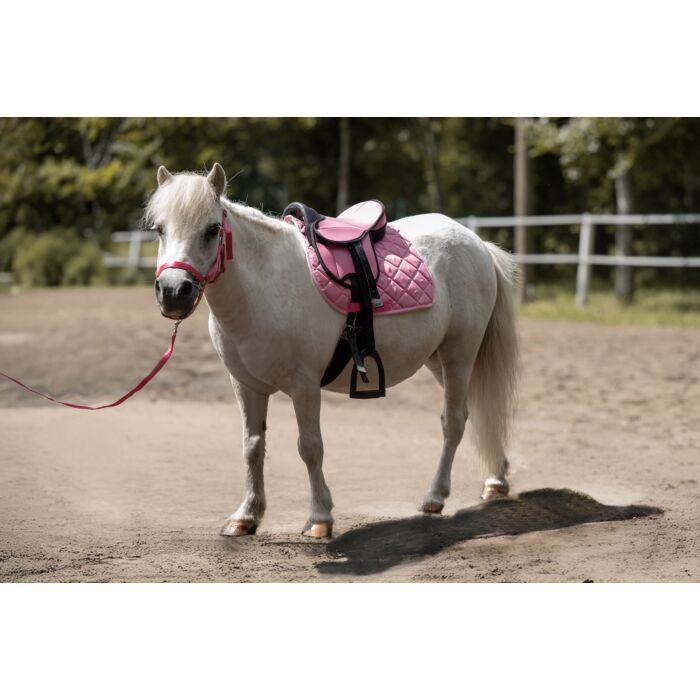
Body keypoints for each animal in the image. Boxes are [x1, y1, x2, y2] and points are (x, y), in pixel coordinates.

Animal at [147, 163, 519, 538]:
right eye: (159, 229)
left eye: (212, 229)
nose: (173, 292)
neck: (265, 287)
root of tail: (476, 242)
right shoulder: (246, 385)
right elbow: (252, 446)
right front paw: (246, 515)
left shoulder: (305, 386)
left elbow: (310, 447)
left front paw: (319, 518)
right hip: (438, 361)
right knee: (475, 412)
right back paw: (496, 479)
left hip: (459, 355)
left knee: (453, 422)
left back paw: (435, 496)